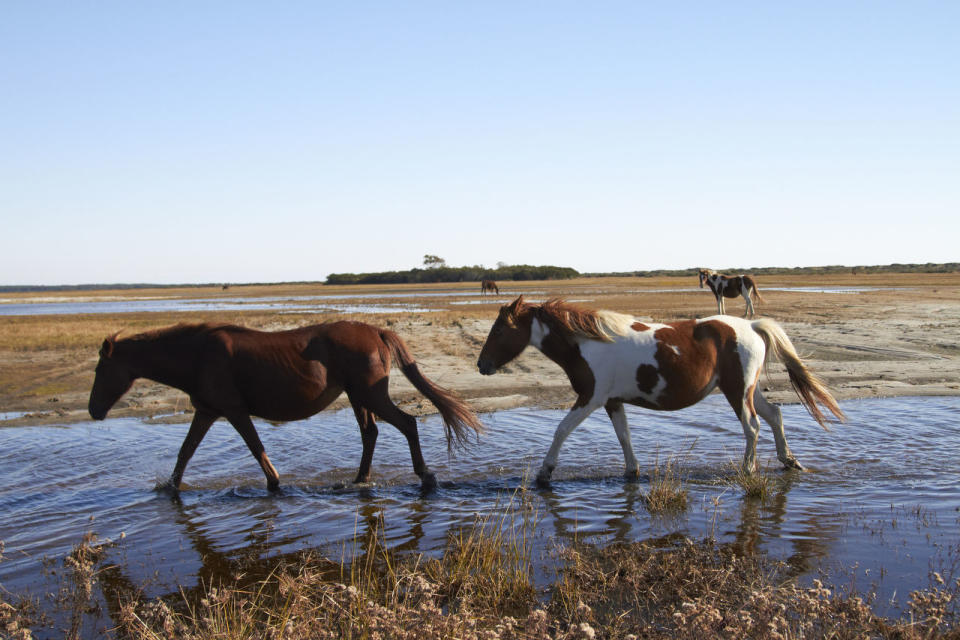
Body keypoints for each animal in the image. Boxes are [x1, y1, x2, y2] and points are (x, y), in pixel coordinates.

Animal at [87, 320, 484, 490]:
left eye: (100, 369)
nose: (93, 410)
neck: (197, 355)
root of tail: (375, 330)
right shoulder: (207, 411)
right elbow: (185, 453)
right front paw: (169, 488)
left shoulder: (233, 411)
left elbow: (256, 447)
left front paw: (275, 483)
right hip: (358, 396)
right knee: (370, 433)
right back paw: (360, 479)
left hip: (370, 394)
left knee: (406, 424)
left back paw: (425, 475)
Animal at [476, 298, 844, 482]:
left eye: (499, 330)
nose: (482, 365)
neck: (587, 342)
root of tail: (752, 326)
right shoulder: (611, 401)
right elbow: (624, 436)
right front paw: (632, 470)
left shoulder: (590, 398)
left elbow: (561, 430)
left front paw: (544, 472)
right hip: (747, 390)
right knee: (774, 416)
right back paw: (789, 461)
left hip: (737, 390)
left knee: (752, 427)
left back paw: (748, 469)